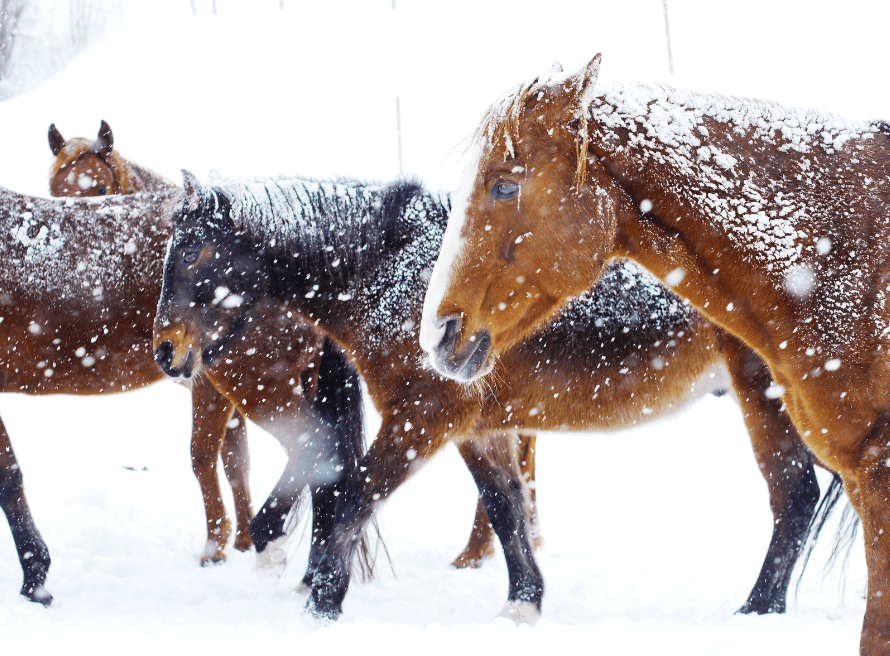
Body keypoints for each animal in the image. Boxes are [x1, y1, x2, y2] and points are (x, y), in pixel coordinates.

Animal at [153, 171, 830, 622]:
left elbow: (350, 502)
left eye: (191, 251)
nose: (164, 349)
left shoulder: (421, 419)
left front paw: (323, 606)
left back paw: (758, 612)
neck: (392, 271)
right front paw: (522, 608)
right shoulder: (475, 429)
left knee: (795, 493)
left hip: (764, 397)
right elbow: (506, 510)